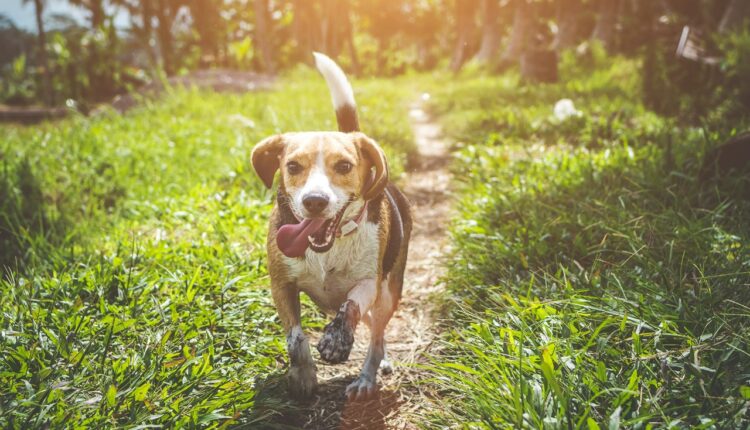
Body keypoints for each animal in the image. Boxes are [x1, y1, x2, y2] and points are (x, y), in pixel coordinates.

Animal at [254, 53, 418, 400]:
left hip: (388, 294)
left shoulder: (369, 282)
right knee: (374, 332)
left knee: (376, 336)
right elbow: (295, 338)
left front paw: (336, 340)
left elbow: (350, 305)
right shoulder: (281, 285)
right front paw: (303, 375)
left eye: (344, 166)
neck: (327, 249)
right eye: (292, 166)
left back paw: (367, 377)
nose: (315, 201)